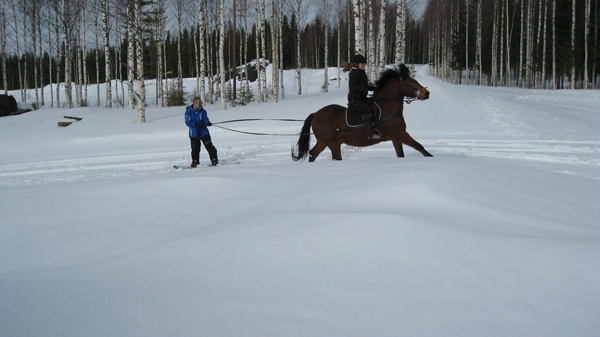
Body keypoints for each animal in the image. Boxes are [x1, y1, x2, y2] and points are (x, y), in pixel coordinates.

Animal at [292, 65, 428, 162]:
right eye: (410, 82)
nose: (426, 93)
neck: (388, 106)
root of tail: (316, 114)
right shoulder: (399, 134)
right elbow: (419, 146)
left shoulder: (396, 138)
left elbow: (401, 154)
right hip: (332, 143)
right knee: (334, 157)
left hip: (323, 142)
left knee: (313, 153)